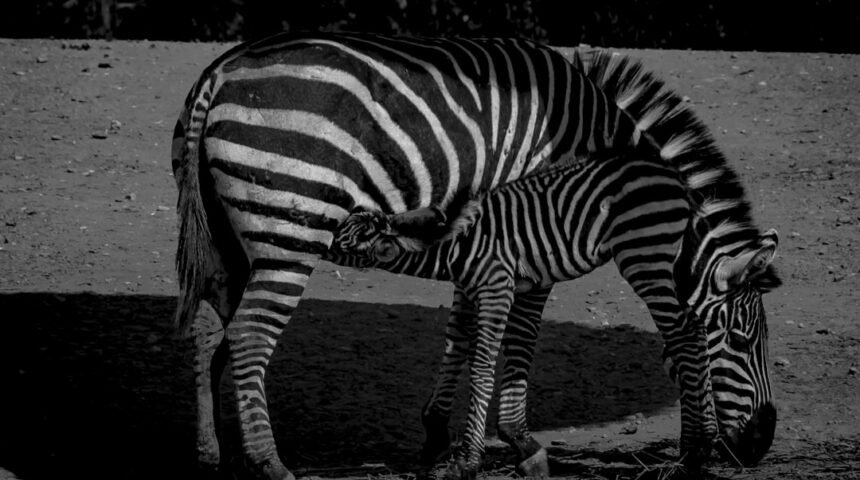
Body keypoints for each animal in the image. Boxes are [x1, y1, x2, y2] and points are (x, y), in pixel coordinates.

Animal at [171, 31, 777, 480]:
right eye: (741, 339)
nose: (761, 442)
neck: (595, 140)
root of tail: (221, 72)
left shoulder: (483, 232)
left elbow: (462, 325)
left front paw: (438, 431)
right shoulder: (536, 225)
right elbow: (520, 334)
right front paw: (520, 440)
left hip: (225, 240)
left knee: (208, 329)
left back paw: (215, 452)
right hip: (290, 229)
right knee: (249, 335)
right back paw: (269, 462)